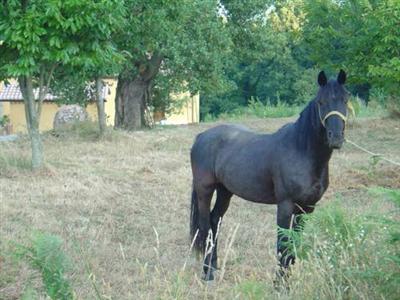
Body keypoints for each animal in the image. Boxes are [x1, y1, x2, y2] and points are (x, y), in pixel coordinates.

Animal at [189, 69, 348, 280]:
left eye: (345, 100)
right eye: (321, 102)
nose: (336, 138)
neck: (301, 150)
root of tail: (201, 137)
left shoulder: (306, 208)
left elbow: (294, 244)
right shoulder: (285, 205)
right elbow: (282, 245)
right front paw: (280, 282)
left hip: (225, 191)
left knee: (215, 221)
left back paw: (214, 267)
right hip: (204, 191)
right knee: (205, 225)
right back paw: (207, 274)